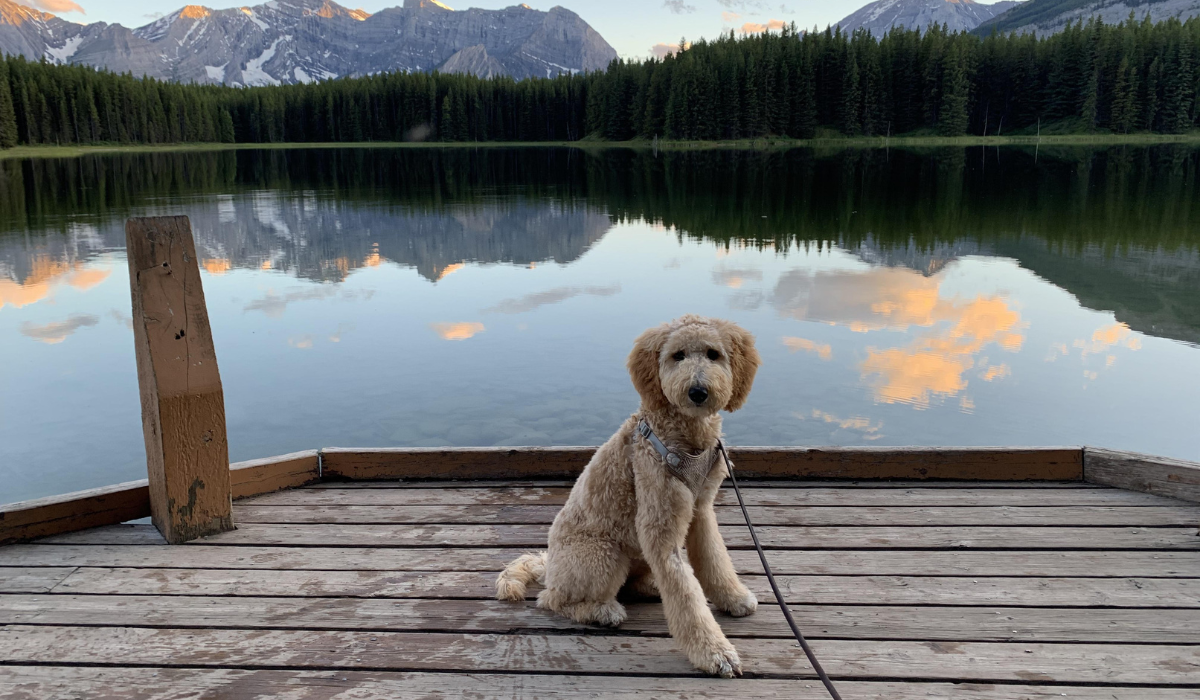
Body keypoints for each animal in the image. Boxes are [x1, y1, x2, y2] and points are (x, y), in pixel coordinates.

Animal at [494, 314, 758, 677]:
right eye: (677, 356)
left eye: (713, 354)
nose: (698, 391)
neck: (686, 438)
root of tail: (549, 569)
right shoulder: (659, 525)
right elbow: (686, 598)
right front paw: (714, 653)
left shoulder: (701, 510)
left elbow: (714, 559)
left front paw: (732, 598)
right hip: (603, 556)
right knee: (553, 600)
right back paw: (602, 612)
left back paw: (650, 587)